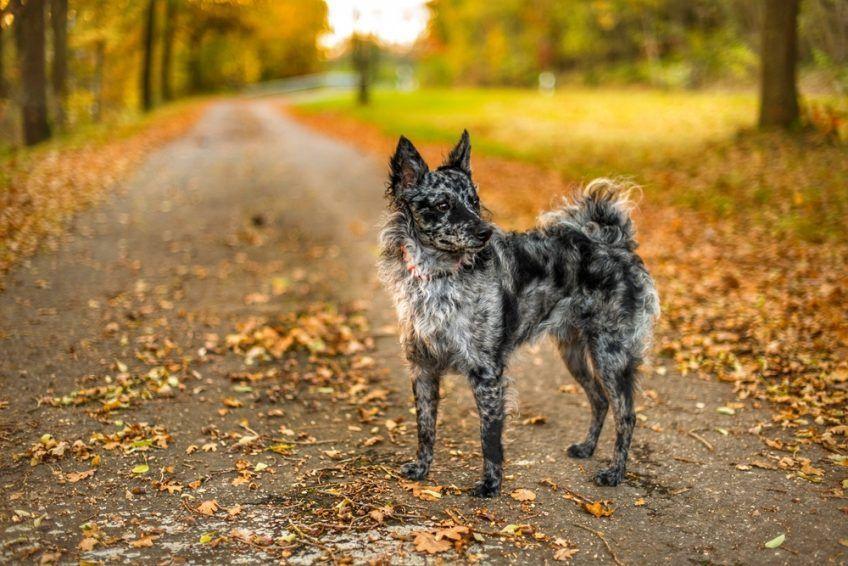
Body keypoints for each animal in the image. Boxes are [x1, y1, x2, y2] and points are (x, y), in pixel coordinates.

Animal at [380, 132, 664, 496]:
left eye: (473, 201)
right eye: (443, 205)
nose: (485, 232)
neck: (440, 275)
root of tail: (615, 244)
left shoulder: (487, 372)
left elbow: (489, 436)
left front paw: (490, 485)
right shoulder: (422, 368)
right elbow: (425, 427)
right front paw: (422, 468)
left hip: (610, 355)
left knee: (626, 415)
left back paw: (615, 472)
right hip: (574, 352)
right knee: (600, 400)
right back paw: (587, 448)